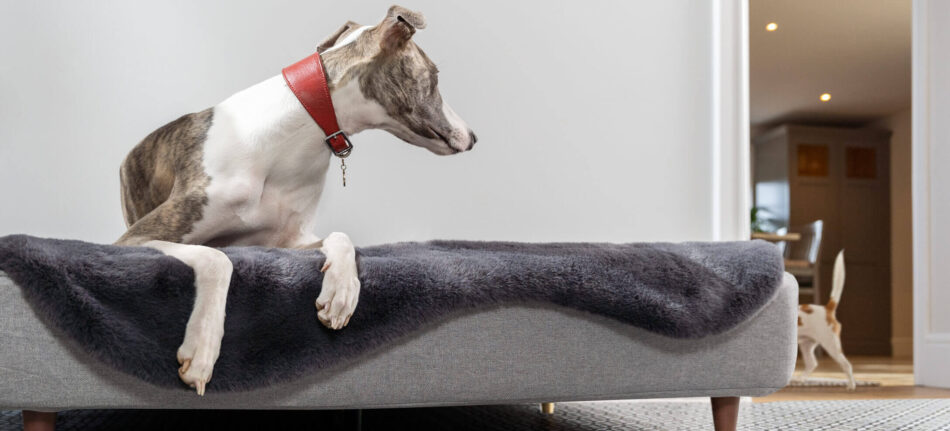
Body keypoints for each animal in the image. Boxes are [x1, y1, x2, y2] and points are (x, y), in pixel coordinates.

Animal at [113, 5, 476, 396]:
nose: (473, 138)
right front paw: (202, 350)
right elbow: (217, 258)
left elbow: (342, 238)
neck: (291, 138)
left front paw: (342, 293)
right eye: (435, 77)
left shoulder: (282, 242)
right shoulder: (135, 238)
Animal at [796, 251, 856, 390]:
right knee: (812, 363)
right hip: (806, 344)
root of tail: (827, 308)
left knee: (847, 365)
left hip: (831, 345)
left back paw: (851, 385)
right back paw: (800, 380)